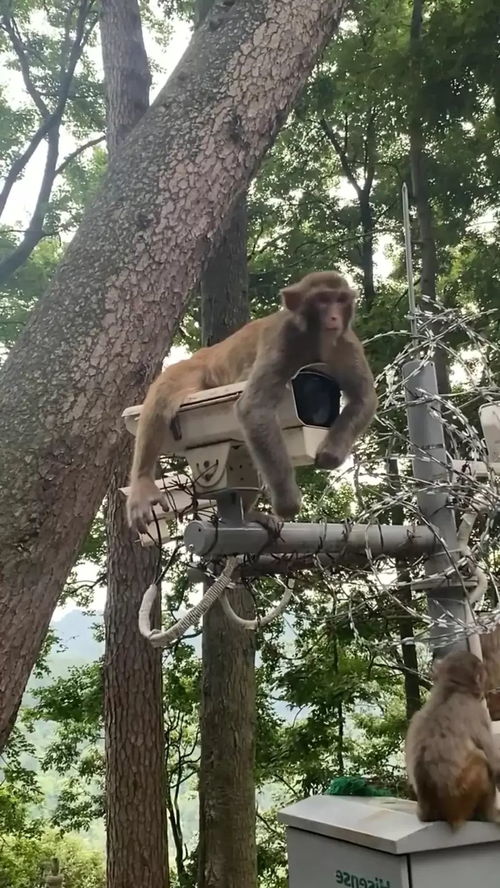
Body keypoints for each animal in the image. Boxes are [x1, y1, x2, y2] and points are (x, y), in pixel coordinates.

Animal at [127, 270, 376, 532]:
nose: (334, 316)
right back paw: (142, 483)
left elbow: (363, 398)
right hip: (193, 368)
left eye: (340, 299)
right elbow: (255, 407)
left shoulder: (346, 342)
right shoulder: (282, 339)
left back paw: (247, 514)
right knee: (162, 397)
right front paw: (287, 501)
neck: (313, 338)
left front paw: (331, 453)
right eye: (323, 300)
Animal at [404, 648, 500, 828]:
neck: (452, 689)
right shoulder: (477, 711)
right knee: (481, 759)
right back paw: (489, 815)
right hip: (462, 797)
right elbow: (495, 764)